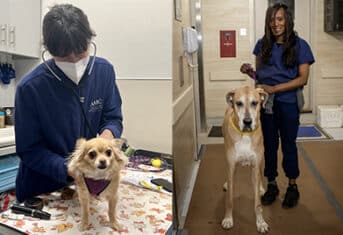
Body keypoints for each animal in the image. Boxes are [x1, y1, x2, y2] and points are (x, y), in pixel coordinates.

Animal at [222, 86, 270, 233]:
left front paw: (260, 222)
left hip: (260, 160)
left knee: (260, 172)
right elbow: (229, 200)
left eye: (255, 103)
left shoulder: (256, 163)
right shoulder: (231, 166)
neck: (245, 135)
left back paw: (261, 187)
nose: (247, 122)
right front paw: (228, 219)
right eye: (239, 103)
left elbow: (258, 203)